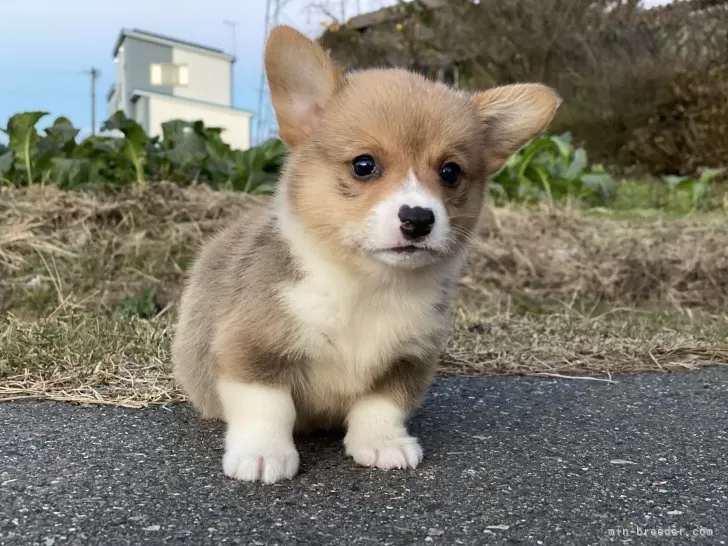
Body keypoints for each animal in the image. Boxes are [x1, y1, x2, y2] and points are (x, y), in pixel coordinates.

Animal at [172, 24, 564, 480]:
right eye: (364, 165)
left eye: (450, 172)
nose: (417, 218)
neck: (367, 284)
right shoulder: (252, 349)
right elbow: (267, 407)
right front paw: (263, 453)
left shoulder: (407, 361)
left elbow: (381, 407)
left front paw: (383, 445)